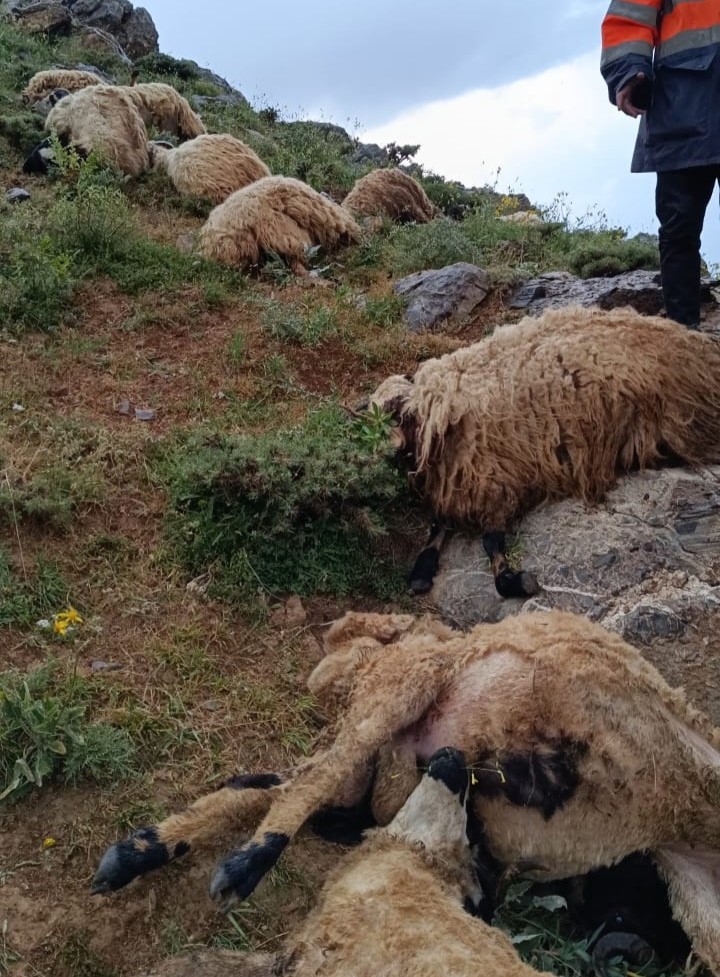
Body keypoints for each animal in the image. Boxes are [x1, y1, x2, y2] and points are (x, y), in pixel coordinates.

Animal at [366, 304, 720, 596]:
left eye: (389, 418)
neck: (432, 416)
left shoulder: (495, 481)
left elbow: (490, 543)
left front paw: (515, 581)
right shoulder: (459, 483)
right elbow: (437, 527)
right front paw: (420, 572)